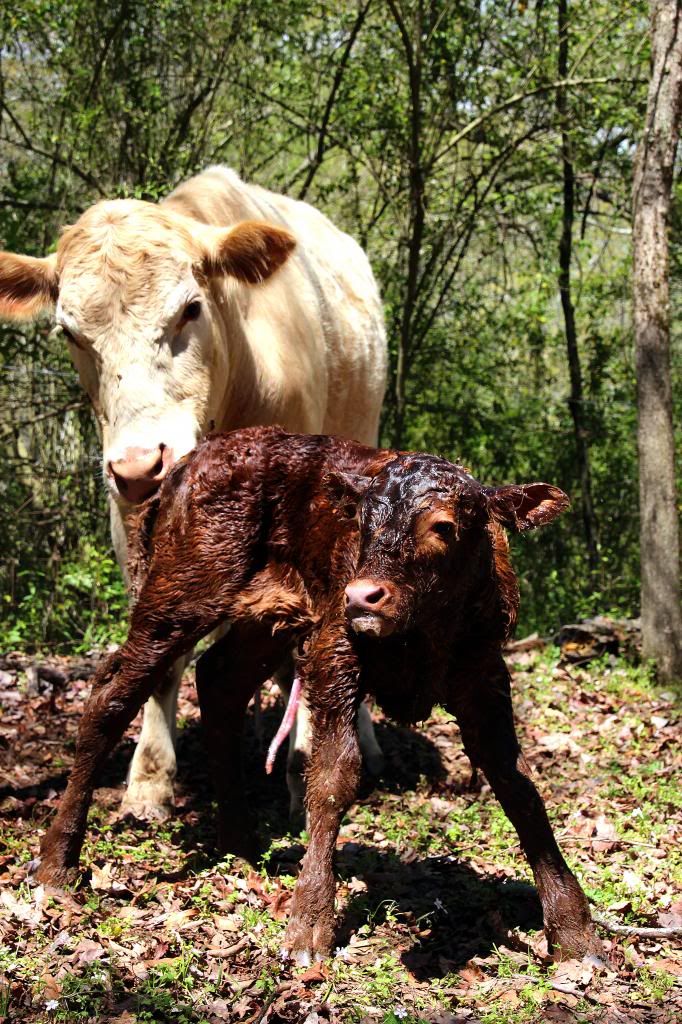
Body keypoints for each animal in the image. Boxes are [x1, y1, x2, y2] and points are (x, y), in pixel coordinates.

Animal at [0, 166, 387, 819]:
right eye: (70, 332)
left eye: (190, 308)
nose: (138, 465)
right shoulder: (133, 522)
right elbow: (161, 646)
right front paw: (150, 779)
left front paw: (305, 772)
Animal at [32, 428, 600, 965]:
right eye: (363, 523)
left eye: (442, 526)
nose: (362, 596)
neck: (423, 631)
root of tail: (190, 462)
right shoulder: (333, 656)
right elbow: (333, 776)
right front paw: (309, 924)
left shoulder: (483, 675)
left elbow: (515, 782)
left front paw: (574, 931)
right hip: (177, 597)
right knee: (112, 697)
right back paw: (56, 865)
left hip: (263, 620)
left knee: (219, 682)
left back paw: (239, 845)